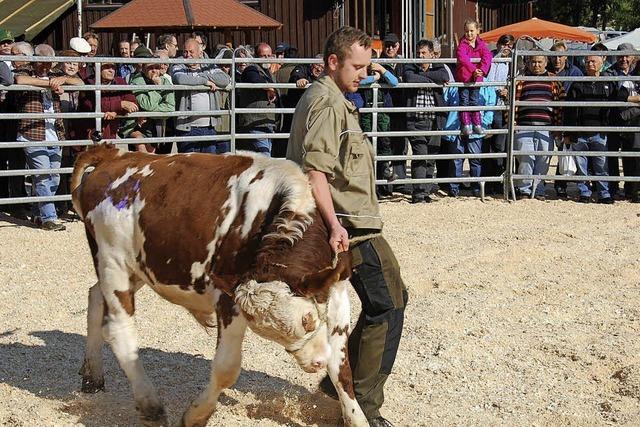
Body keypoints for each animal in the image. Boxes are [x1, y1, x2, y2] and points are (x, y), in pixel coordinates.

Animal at [70, 145, 368, 426]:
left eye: (307, 319)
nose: (315, 362)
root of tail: (115, 155)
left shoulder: (337, 290)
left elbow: (341, 367)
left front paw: (357, 418)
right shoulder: (229, 301)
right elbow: (226, 368)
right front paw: (196, 415)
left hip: (135, 269)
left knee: (95, 296)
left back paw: (92, 375)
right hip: (113, 263)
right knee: (119, 330)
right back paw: (150, 406)